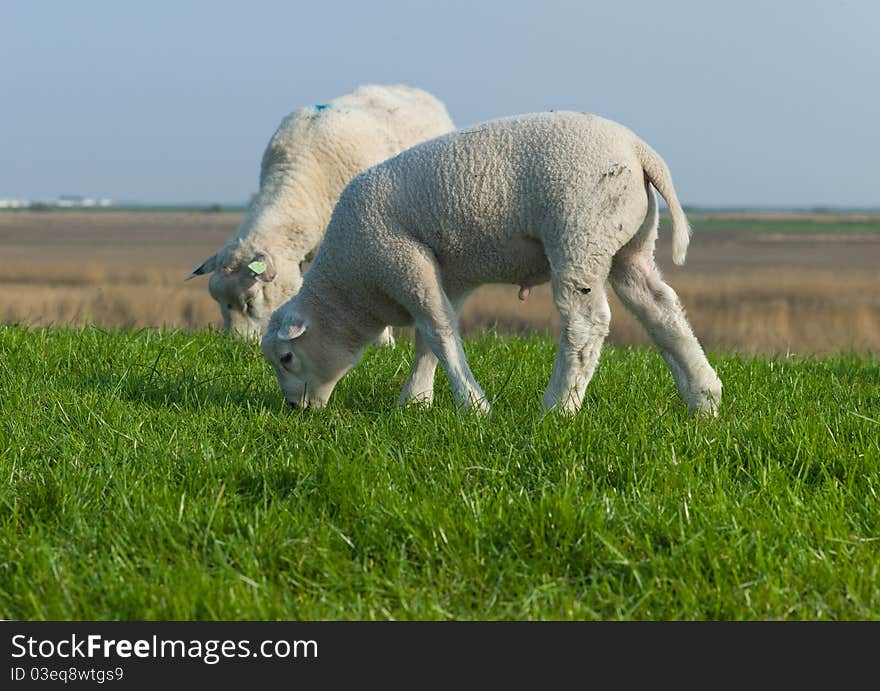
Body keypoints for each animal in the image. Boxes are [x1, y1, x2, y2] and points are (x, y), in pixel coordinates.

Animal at [260, 111, 720, 418]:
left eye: (286, 358)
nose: (295, 408)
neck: (351, 286)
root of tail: (638, 150)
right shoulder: (448, 273)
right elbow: (430, 334)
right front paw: (417, 401)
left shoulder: (399, 257)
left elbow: (439, 331)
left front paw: (472, 406)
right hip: (629, 245)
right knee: (661, 310)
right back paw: (704, 398)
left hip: (579, 232)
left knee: (586, 323)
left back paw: (558, 407)